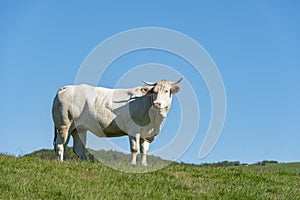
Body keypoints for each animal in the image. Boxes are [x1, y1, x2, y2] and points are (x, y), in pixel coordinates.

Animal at [52, 78, 183, 166]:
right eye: (154, 91)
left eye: (167, 91)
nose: (157, 103)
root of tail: (66, 88)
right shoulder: (133, 130)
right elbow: (135, 149)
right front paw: (133, 164)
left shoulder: (147, 133)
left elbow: (144, 150)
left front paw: (144, 165)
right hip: (64, 124)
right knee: (60, 144)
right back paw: (60, 162)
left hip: (78, 128)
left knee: (78, 147)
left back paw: (85, 162)